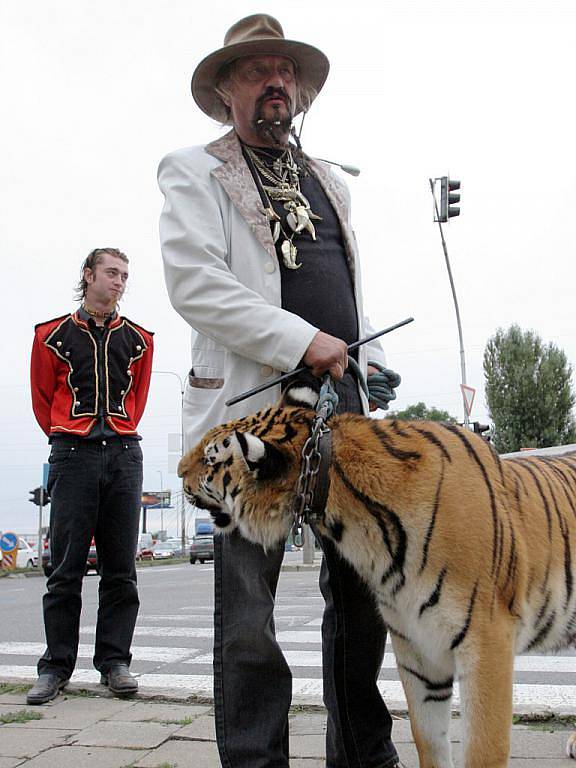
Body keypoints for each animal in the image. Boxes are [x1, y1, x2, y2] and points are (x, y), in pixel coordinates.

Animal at [179, 390, 576, 768]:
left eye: (210, 459)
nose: (180, 470)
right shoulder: (416, 649)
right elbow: (428, 742)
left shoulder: (486, 642)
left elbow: (484, 751)